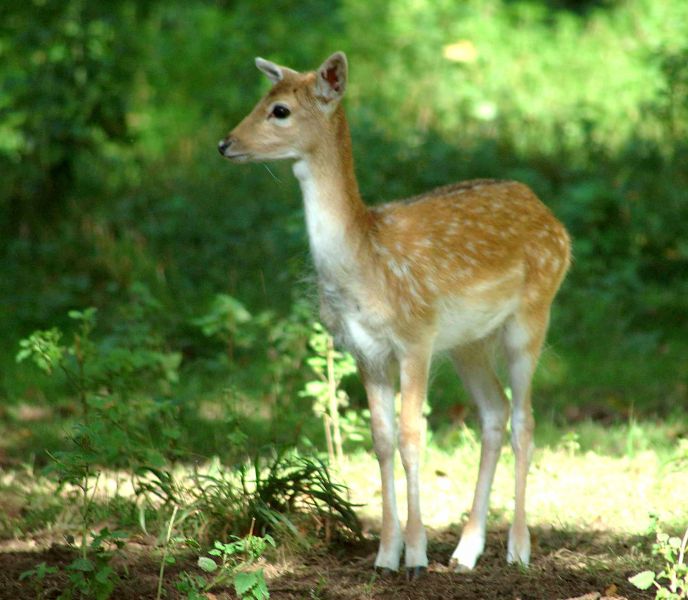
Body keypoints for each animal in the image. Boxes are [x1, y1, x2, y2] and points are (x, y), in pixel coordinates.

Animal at [218, 51, 570, 579]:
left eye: (279, 110)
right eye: (262, 98)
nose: (225, 143)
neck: (366, 266)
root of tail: (555, 222)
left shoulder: (416, 337)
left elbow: (411, 436)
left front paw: (417, 556)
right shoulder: (365, 350)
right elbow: (381, 440)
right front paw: (385, 555)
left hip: (532, 312)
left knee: (523, 421)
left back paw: (518, 549)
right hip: (467, 341)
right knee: (494, 411)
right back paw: (466, 551)